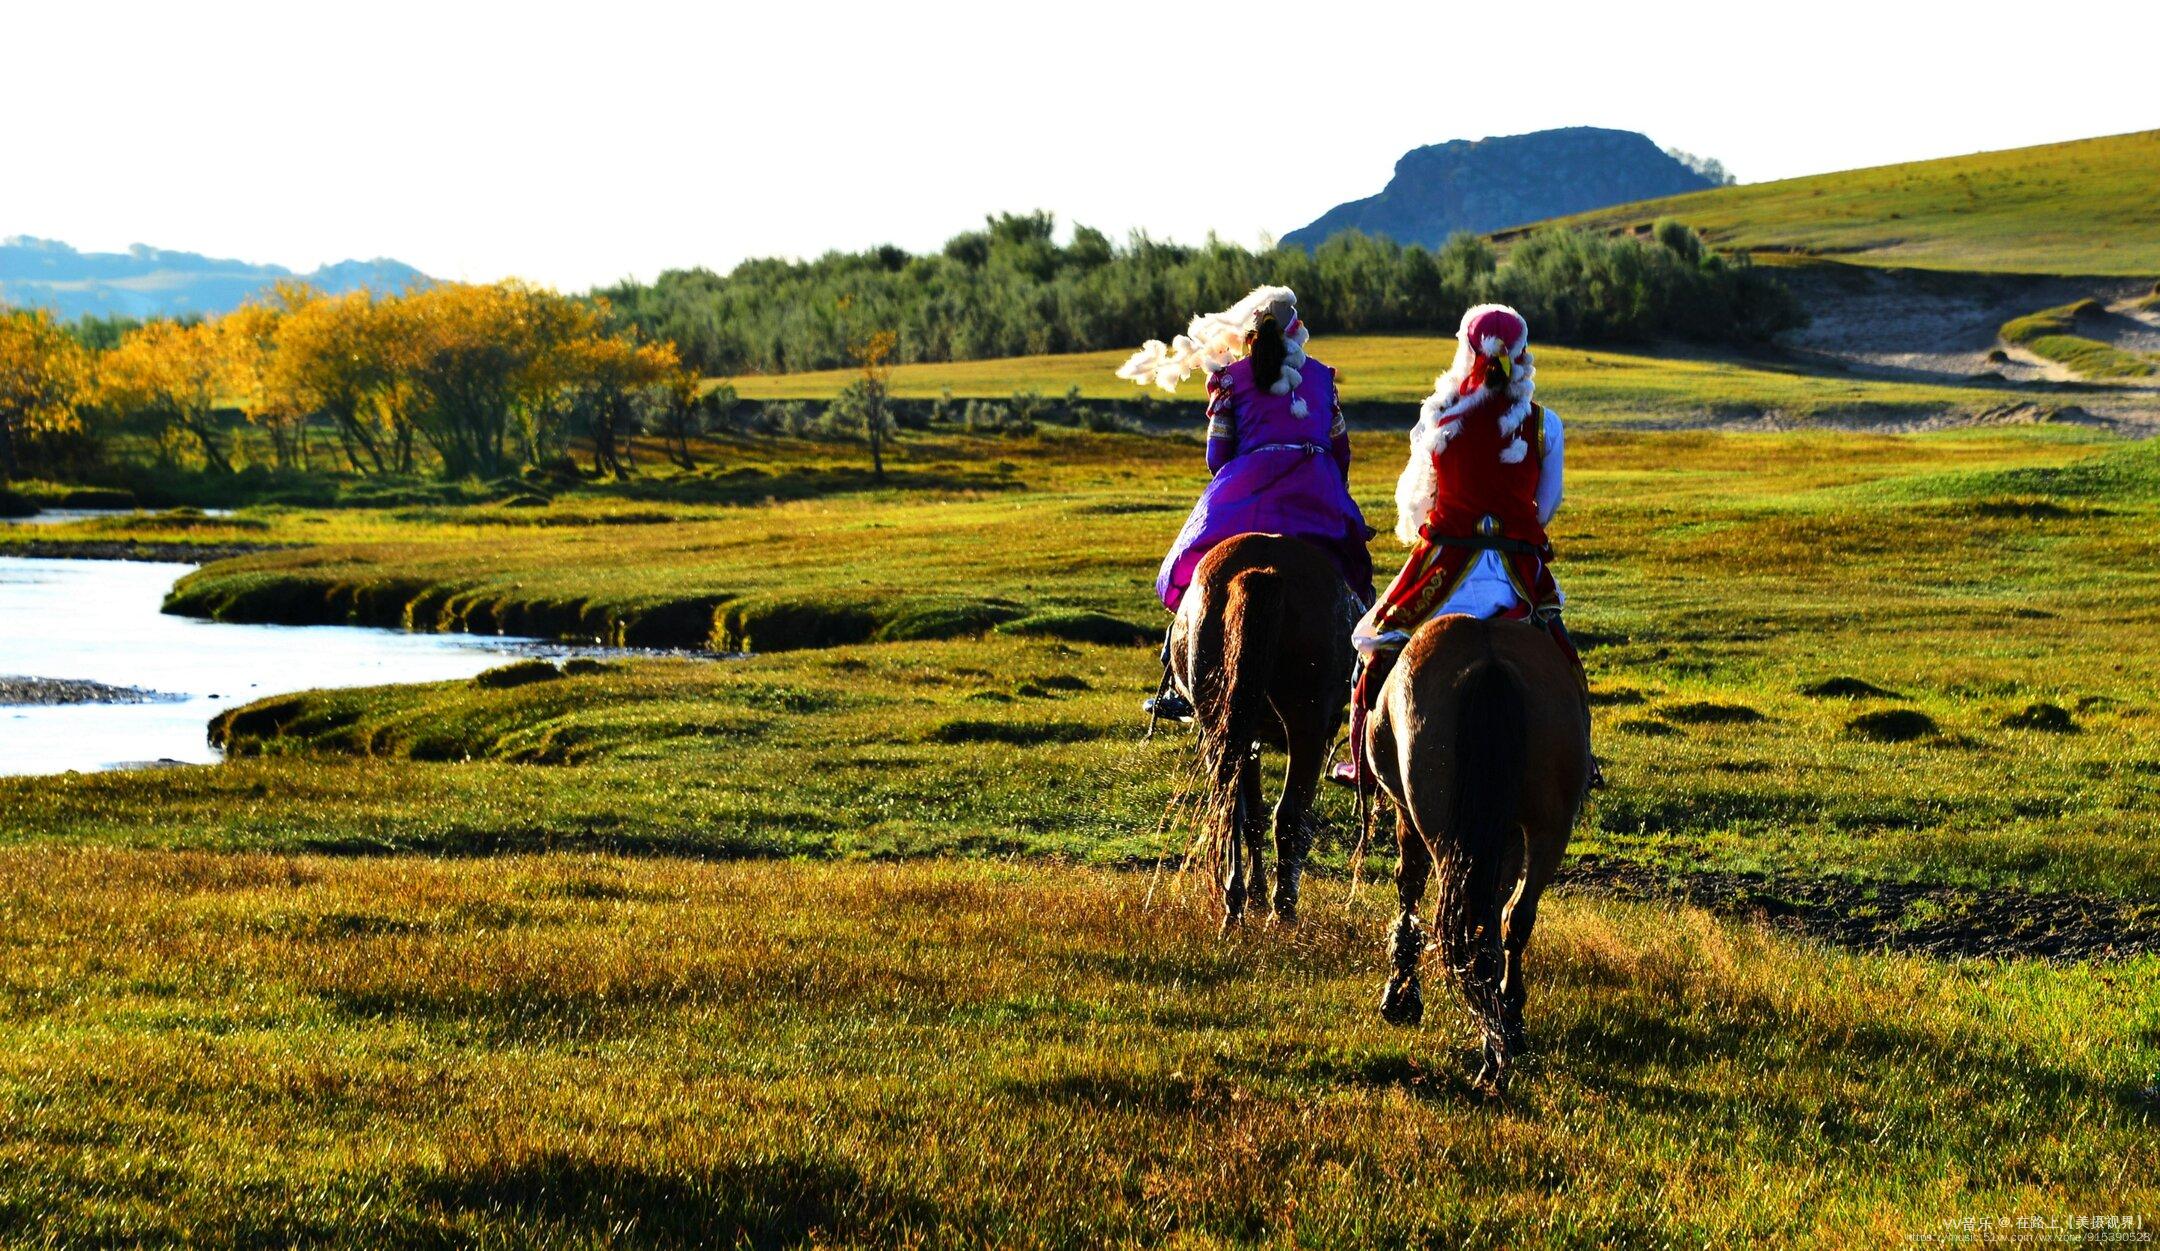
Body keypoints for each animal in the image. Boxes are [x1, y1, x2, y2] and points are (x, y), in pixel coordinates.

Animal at [1175, 533, 1356, 924]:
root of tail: (1263, 568)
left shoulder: (1247, 732)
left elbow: (1252, 814)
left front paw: (1254, 893)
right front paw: (1264, 895)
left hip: (1220, 723)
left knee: (1229, 808)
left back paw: (1235, 904)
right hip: (1307, 723)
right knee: (1289, 813)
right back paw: (1282, 909)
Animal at [1365, 613, 1589, 1093]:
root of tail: (1489, 662)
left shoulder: (1407, 815)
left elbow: (1407, 886)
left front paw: (1401, 997)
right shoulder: (1502, 839)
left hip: (1440, 828)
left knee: (1465, 929)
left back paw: (1492, 1055)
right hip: (1548, 827)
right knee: (1513, 918)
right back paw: (1507, 1024)